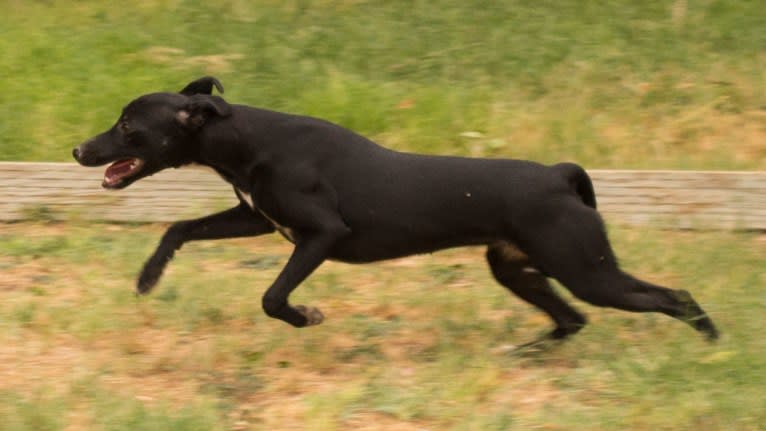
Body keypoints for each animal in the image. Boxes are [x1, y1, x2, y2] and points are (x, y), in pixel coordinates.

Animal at [73, 77, 720, 340]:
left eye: (128, 126)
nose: (79, 150)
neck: (248, 139)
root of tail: (560, 176)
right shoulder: (257, 219)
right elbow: (178, 227)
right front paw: (148, 277)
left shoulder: (321, 235)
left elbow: (272, 297)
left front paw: (306, 317)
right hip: (519, 269)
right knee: (572, 320)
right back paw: (530, 352)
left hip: (586, 269)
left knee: (674, 297)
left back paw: (711, 342)